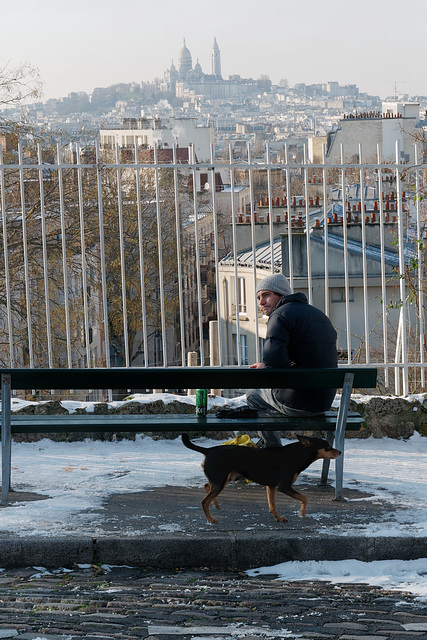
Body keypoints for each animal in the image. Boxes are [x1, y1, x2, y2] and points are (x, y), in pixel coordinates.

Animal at [182, 436, 342, 524]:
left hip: (226, 478)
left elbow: (272, 505)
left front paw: (278, 518)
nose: (340, 452)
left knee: (206, 486)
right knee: (204, 501)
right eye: (328, 447)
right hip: (222, 480)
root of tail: (208, 450)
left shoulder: (271, 486)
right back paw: (210, 519)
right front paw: (302, 513)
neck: (298, 453)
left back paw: (216, 505)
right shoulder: (283, 486)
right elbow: (305, 498)